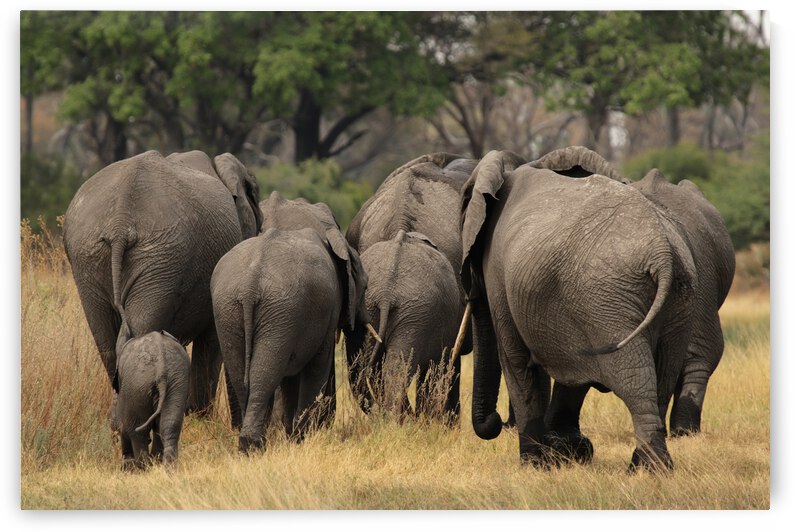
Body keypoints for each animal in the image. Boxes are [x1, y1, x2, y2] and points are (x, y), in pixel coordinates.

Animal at [63, 150, 262, 417]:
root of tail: (120, 222)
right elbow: (211, 341)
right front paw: (200, 417)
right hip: (158, 256)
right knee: (139, 330)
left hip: (96, 257)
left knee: (106, 338)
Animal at [114, 323, 190, 471]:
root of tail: (162, 370)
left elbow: (124, 424)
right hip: (177, 382)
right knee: (170, 426)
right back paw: (167, 468)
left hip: (137, 385)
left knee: (137, 431)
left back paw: (145, 468)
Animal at [211, 197, 369, 453]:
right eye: (365, 287)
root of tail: (250, 284)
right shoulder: (326, 310)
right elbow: (317, 366)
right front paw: (300, 437)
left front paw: (293, 435)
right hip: (277, 310)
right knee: (265, 373)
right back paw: (255, 444)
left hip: (231, 309)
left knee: (244, 374)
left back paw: (249, 445)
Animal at [352, 229, 462, 421]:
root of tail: (387, 291)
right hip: (417, 311)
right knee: (399, 367)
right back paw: (396, 418)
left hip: (380, 307)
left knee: (375, 365)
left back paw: (391, 416)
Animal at [459, 150, 697, 472]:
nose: (494, 421)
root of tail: (662, 252)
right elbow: (571, 371)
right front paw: (564, 452)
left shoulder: (498, 273)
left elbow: (516, 361)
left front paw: (535, 465)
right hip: (678, 299)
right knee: (664, 373)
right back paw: (646, 465)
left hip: (608, 300)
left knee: (635, 379)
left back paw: (650, 469)